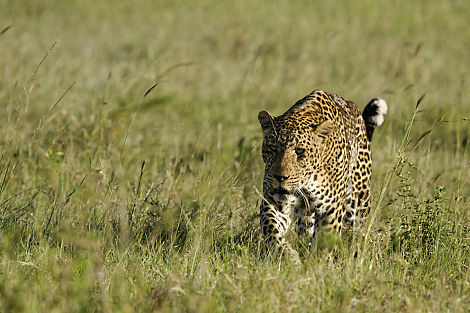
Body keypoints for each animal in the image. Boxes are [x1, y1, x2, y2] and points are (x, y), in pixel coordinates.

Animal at [258, 89, 388, 262]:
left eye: (300, 151)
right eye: (272, 148)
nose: (280, 178)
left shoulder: (331, 209)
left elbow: (324, 243)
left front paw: (316, 265)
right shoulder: (273, 201)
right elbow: (271, 229)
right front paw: (289, 258)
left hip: (358, 203)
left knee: (355, 233)